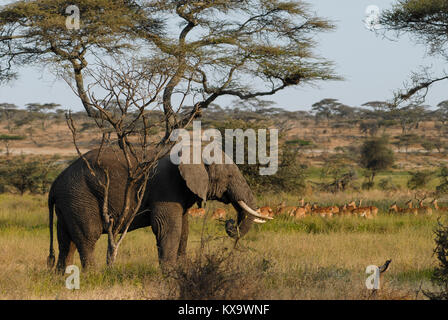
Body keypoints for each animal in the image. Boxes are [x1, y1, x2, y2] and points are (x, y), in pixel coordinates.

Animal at [46, 146, 270, 272]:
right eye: (229, 176)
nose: (230, 223)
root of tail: (55, 183)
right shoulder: (167, 188)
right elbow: (167, 227)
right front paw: (169, 274)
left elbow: (184, 230)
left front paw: (182, 271)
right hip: (81, 197)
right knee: (87, 238)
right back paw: (93, 275)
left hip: (68, 204)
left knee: (66, 241)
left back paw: (62, 277)